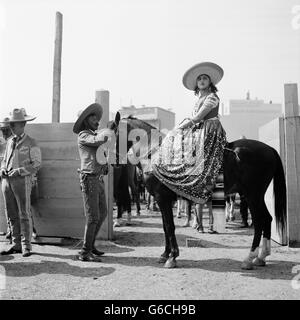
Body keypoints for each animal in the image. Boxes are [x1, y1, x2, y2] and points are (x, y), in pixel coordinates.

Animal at [109, 114, 288, 268]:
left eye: (110, 136)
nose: (112, 162)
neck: (154, 152)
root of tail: (270, 149)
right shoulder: (163, 200)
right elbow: (165, 227)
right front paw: (165, 254)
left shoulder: (162, 198)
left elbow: (169, 226)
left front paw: (172, 257)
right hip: (255, 195)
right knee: (267, 219)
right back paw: (261, 257)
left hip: (252, 195)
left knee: (259, 221)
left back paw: (250, 258)